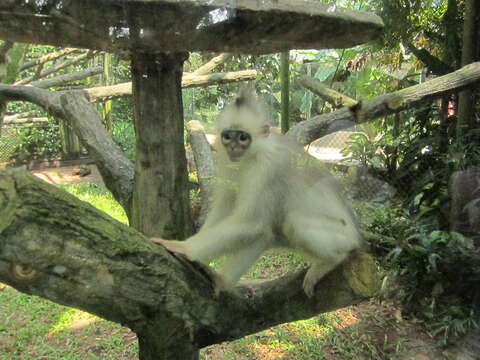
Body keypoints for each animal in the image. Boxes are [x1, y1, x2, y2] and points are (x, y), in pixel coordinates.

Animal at [156, 88, 362, 298]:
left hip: (343, 238)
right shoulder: (228, 163)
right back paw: (222, 281)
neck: (252, 155)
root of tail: (357, 236)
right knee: (264, 235)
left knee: (288, 223)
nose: (233, 147)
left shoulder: (267, 168)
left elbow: (250, 221)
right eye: (228, 136)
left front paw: (184, 247)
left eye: (243, 137)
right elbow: (225, 210)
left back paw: (331, 262)